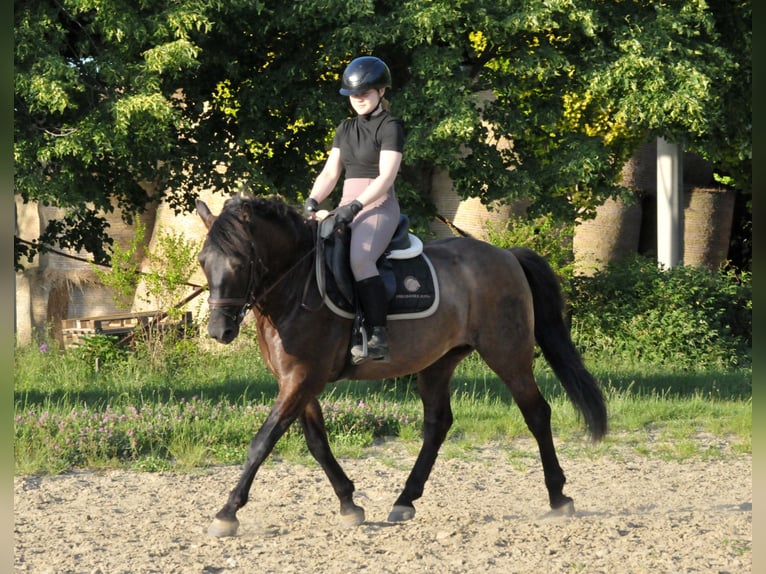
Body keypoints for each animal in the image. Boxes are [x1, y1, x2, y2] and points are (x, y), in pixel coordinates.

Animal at [195, 195, 607, 537]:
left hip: (508, 354)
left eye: (238, 262)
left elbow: (262, 442)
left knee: (536, 413)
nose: (219, 331)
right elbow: (316, 442)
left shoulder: (302, 379)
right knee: (438, 424)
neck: (296, 288)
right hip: (439, 362)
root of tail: (505, 255)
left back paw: (559, 498)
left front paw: (227, 513)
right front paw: (349, 503)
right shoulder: (296, 381)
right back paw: (405, 500)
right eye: (202, 262)